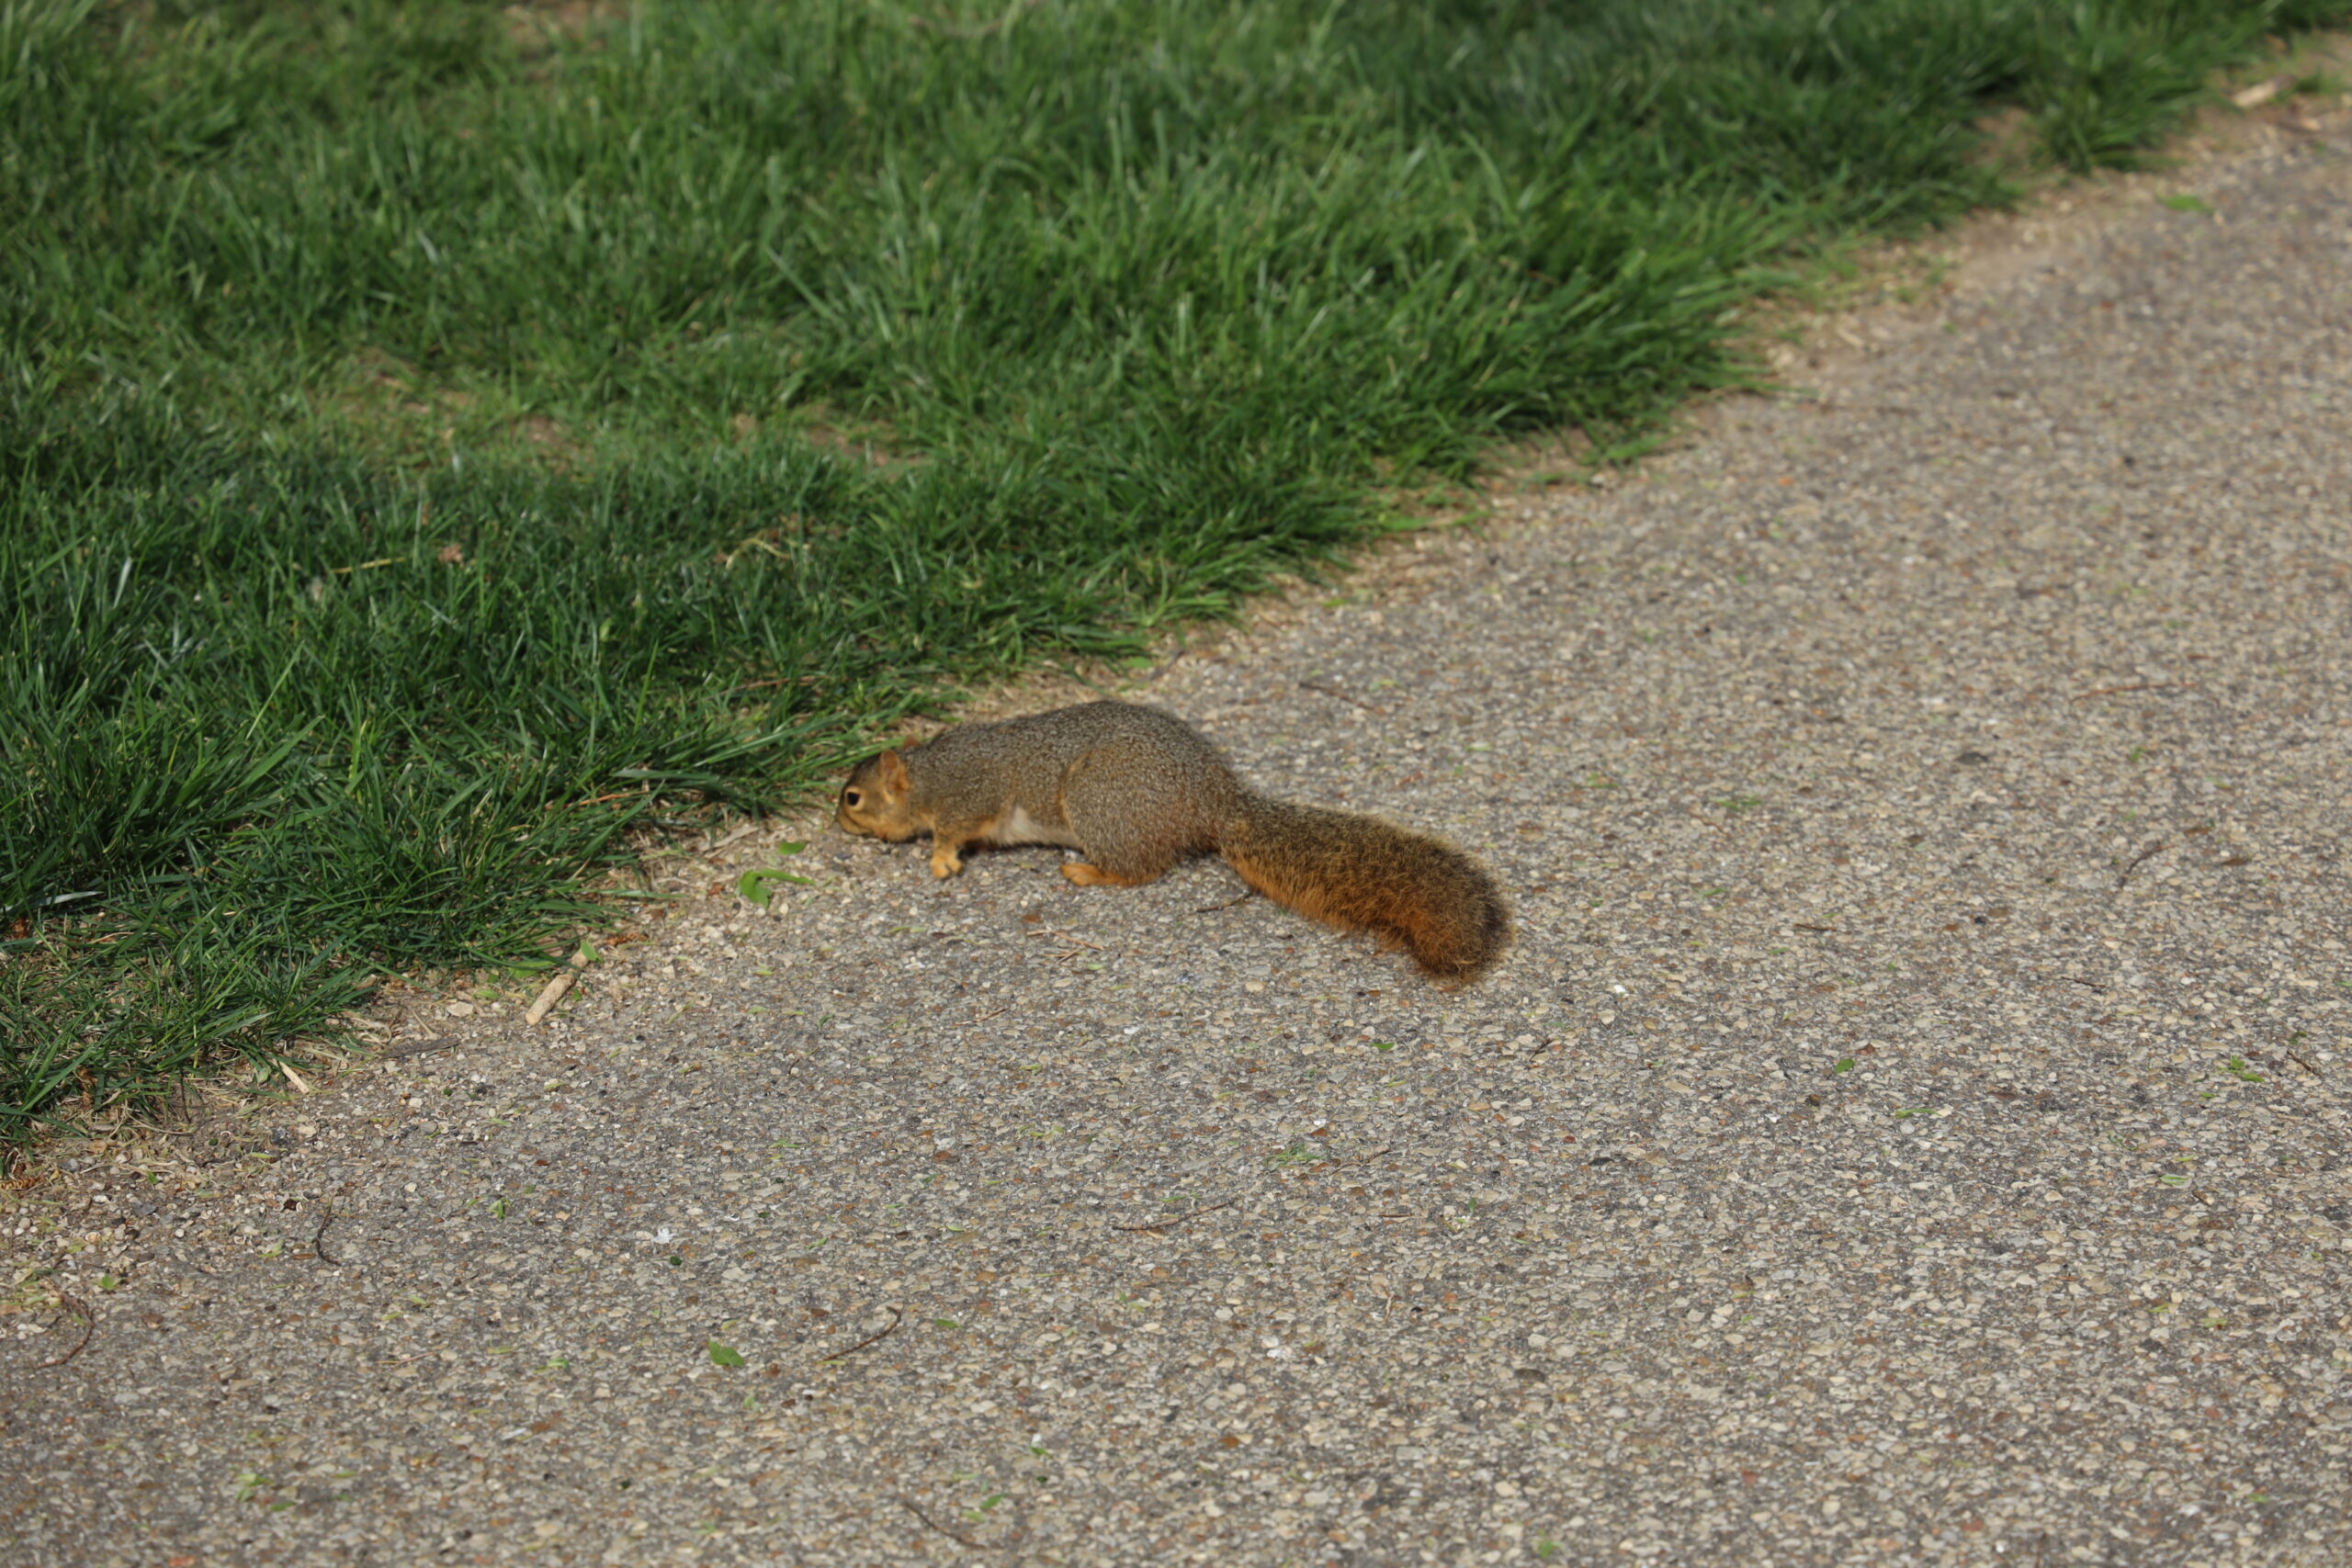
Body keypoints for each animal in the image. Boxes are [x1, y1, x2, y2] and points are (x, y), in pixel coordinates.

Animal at [835, 700, 1509, 982]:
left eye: (853, 798)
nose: (837, 822)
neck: (929, 773)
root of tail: (1214, 804)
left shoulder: (970, 794)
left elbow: (954, 830)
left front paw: (940, 859)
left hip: (1101, 800)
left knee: (1141, 868)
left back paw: (1087, 872)